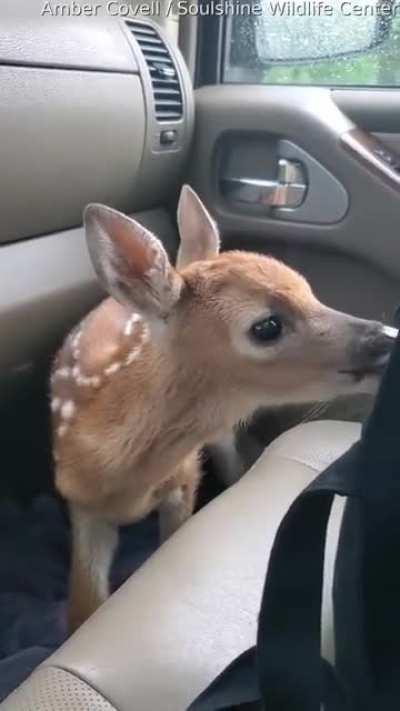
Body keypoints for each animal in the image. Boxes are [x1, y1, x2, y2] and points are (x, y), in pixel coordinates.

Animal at [50, 185, 395, 632]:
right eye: (266, 326)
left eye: (309, 289)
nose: (388, 338)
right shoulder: (81, 507)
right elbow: (83, 610)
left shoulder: (185, 476)